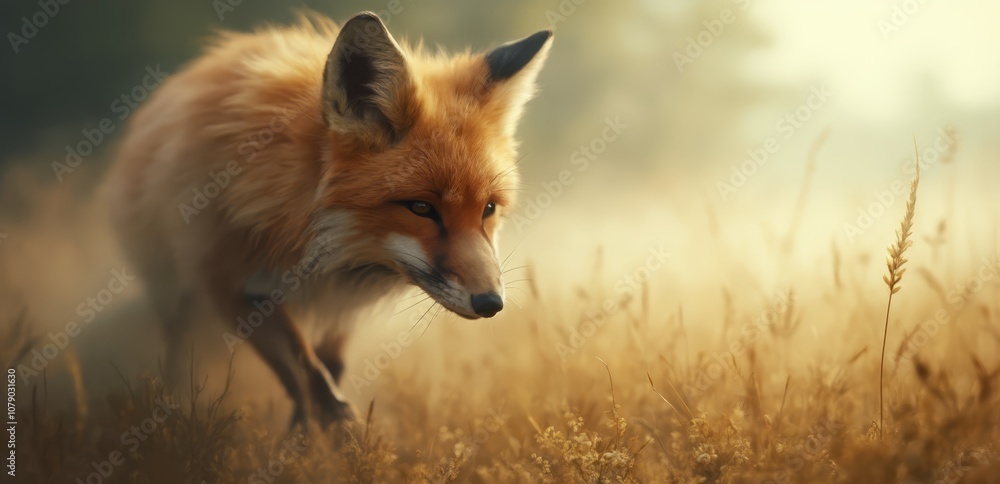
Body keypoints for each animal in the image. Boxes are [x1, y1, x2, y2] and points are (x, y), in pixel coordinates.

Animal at [107, 11, 552, 425]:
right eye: (422, 208)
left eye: (488, 209)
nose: (491, 303)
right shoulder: (230, 285)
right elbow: (309, 373)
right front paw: (335, 434)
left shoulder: (341, 300)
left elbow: (326, 368)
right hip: (176, 297)